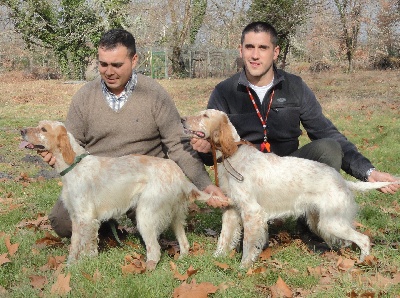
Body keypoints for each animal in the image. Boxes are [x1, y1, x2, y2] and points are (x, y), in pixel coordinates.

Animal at [20, 120, 227, 268]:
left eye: (43, 129)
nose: (21, 131)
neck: (74, 165)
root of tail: (177, 172)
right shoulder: (78, 218)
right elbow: (79, 245)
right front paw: (76, 265)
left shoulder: (86, 218)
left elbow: (81, 246)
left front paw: (79, 266)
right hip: (175, 216)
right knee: (184, 243)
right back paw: (182, 260)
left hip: (145, 215)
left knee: (155, 249)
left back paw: (146, 268)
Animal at [182, 109, 396, 268]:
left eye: (204, 116)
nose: (182, 120)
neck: (232, 155)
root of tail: (341, 179)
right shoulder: (231, 210)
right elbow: (224, 238)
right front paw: (216, 258)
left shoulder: (252, 212)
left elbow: (248, 244)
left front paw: (244, 267)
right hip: (322, 222)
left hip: (331, 222)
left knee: (364, 239)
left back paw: (362, 262)